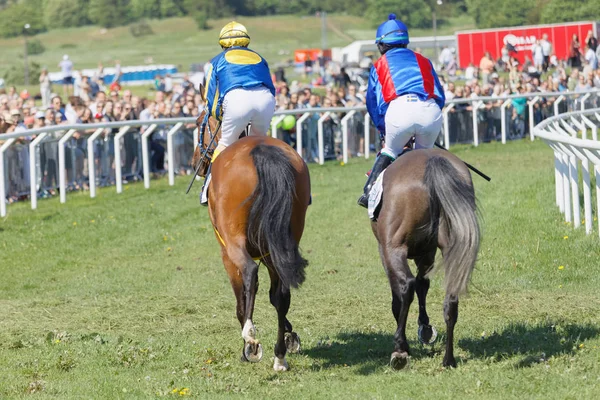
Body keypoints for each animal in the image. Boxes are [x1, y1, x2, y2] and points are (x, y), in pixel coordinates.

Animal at [192, 110, 312, 372]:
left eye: (197, 124)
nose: (196, 161)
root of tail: (261, 151)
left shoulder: (226, 253)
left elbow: (242, 298)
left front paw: (249, 343)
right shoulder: (269, 251)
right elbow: (273, 296)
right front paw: (290, 335)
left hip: (235, 243)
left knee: (249, 272)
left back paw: (251, 341)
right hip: (285, 237)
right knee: (282, 293)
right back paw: (279, 356)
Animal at [372, 148, 480, 370]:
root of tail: (432, 161)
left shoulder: (384, 250)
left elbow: (399, 296)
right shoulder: (427, 252)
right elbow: (423, 285)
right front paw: (426, 327)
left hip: (393, 247)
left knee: (406, 286)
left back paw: (400, 349)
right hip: (449, 244)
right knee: (451, 299)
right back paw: (448, 359)